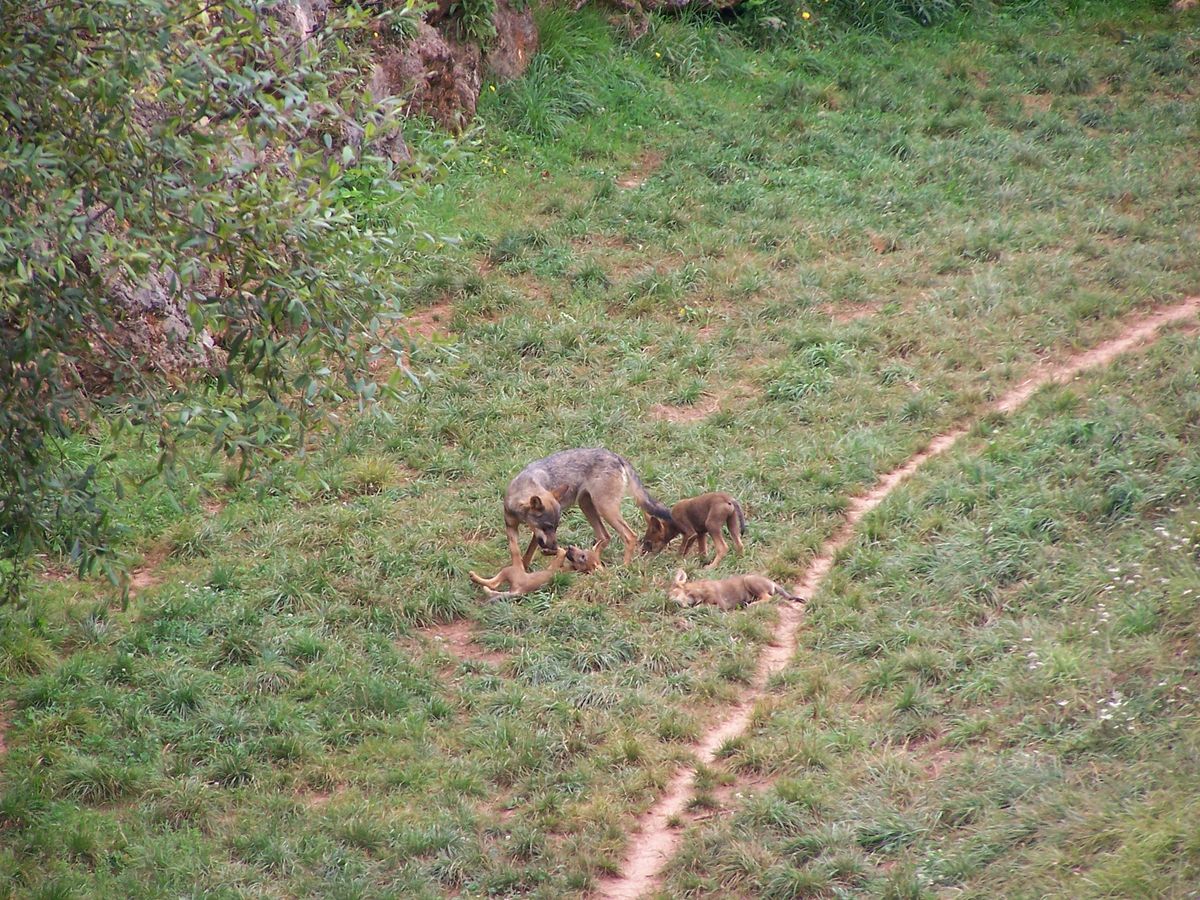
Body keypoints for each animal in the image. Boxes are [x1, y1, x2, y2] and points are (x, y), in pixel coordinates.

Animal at [504, 448, 676, 566]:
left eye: (555, 526)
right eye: (547, 527)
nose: (554, 547)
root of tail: (615, 456)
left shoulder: (536, 535)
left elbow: (527, 552)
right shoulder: (511, 527)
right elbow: (516, 552)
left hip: (604, 509)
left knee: (630, 536)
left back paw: (624, 567)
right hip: (587, 506)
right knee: (605, 536)